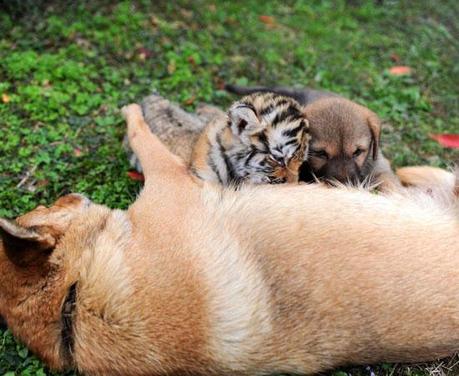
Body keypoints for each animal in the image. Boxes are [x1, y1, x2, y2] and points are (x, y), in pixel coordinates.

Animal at [0, 103, 459, 376]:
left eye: (45, 204)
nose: (68, 194)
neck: (74, 305)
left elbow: (147, 139)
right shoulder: (172, 180)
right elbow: (146, 138)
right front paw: (138, 114)